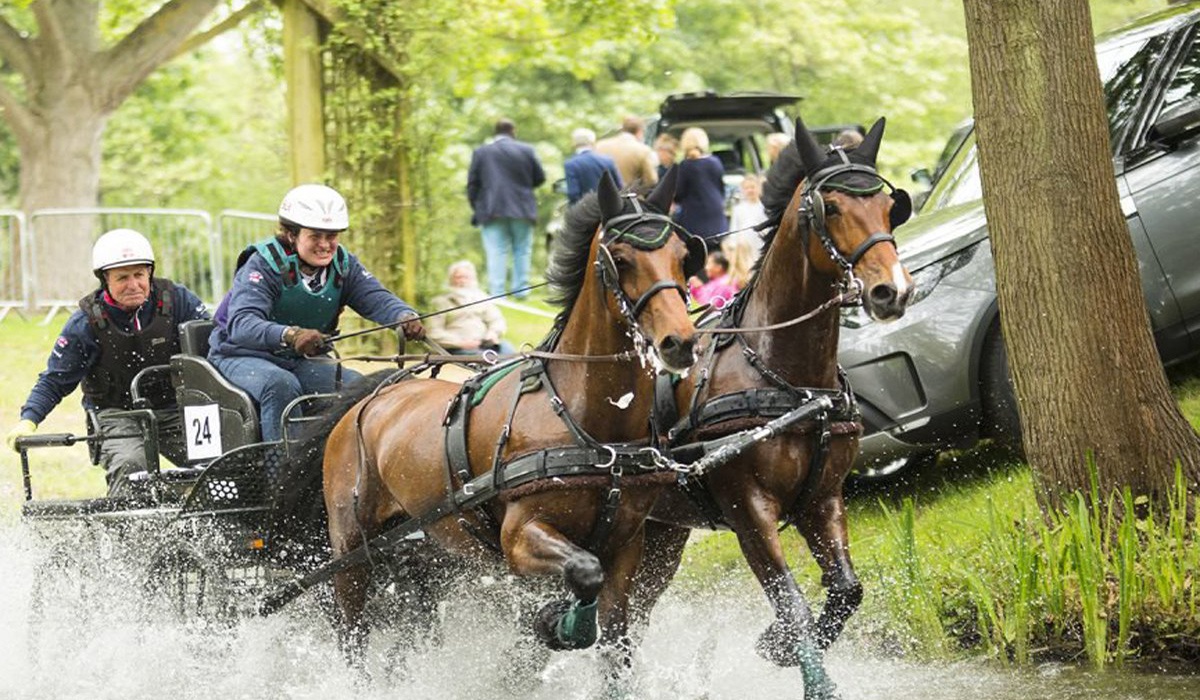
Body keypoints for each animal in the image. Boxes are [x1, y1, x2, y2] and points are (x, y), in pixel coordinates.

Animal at [316, 172, 700, 686]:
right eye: (620, 259)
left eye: (682, 254)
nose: (680, 342)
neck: (587, 422)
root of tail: (373, 397)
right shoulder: (518, 539)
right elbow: (584, 574)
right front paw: (558, 624)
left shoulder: (626, 545)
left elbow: (614, 642)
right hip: (350, 549)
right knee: (352, 633)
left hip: (419, 548)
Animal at [633, 117, 912, 696]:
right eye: (831, 208)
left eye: (889, 205)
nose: (891, 291)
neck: (785, 378)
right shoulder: (750, 513)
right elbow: (794, 606)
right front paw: (796, 659)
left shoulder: (822, 499)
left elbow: (846, 589)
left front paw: (774, 646)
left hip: (658, 536)